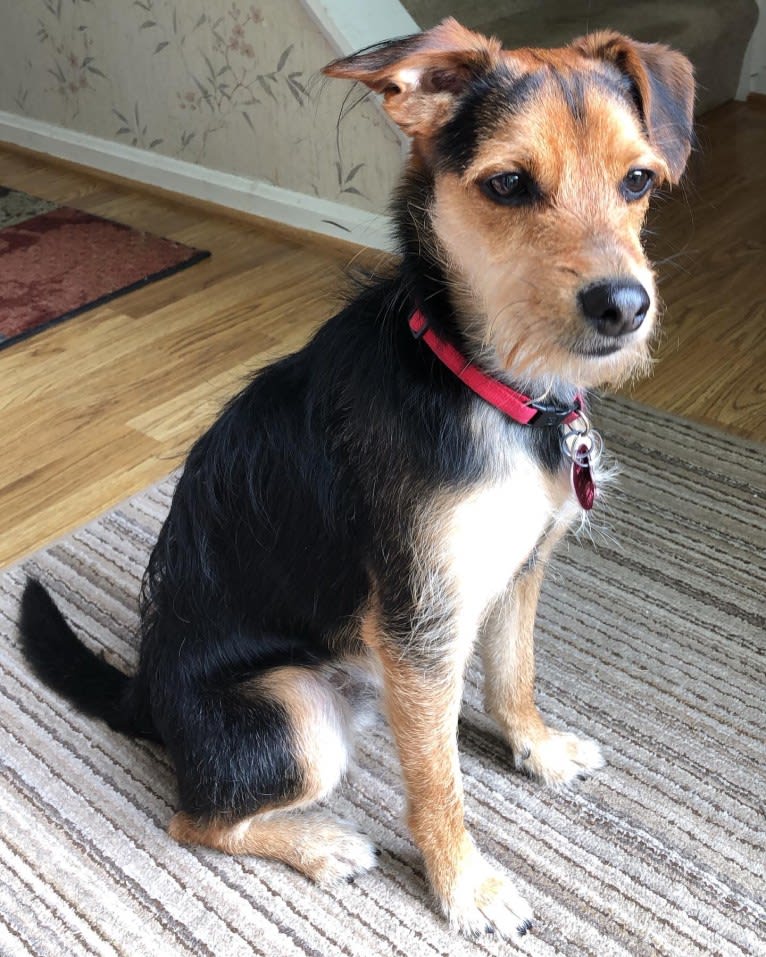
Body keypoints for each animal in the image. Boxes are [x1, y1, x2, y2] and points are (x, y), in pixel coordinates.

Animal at [22, 20, 696, 940]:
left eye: (638, 180)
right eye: (509, 184)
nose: (624, 306)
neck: (487, 382)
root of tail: (145, 697)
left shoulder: (518, 571)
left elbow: (513, 673)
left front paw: (538, 747)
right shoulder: (418, 624)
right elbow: (438, 782)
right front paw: (465, 886)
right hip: (298, 708)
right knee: (195, 816)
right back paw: (322, 842)